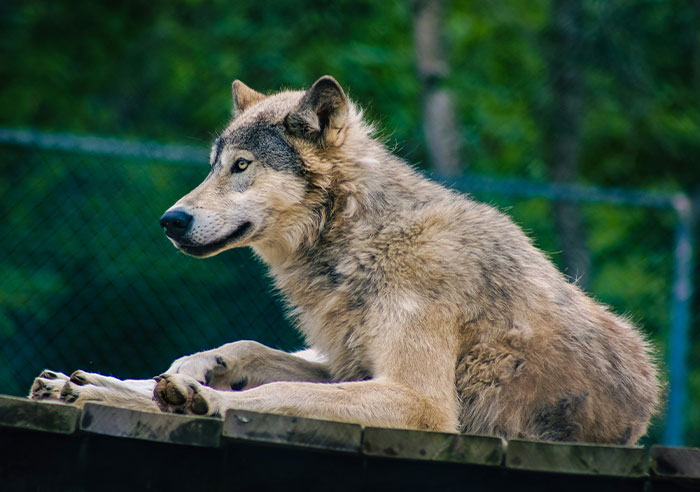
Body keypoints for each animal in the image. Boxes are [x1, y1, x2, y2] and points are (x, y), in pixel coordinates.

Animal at [30, 76, 661, 443]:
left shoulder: (417, 399)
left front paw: (205, 399)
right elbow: (250, 351)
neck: (361, 238)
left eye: (241, 166)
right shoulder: (349, 368)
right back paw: (85, 384)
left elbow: (273, 398)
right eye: (213, 166)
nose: (170, 221)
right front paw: (196, 372)